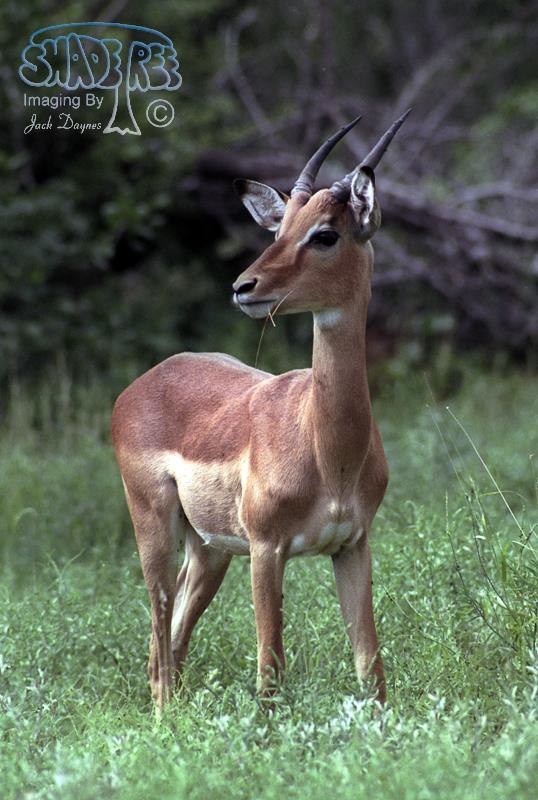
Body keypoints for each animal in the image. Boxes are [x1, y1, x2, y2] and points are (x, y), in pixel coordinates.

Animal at [112, 110, 410, 709]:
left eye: (325, 233)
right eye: (279, 229)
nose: (243, 286)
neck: (329, 451)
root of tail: (139, 385)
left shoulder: (353, 545)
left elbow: (371, 665)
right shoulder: (267, 550)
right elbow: (270, 668)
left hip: (209, 551)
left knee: (170, 642)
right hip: (156, 531)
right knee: (159, 638)